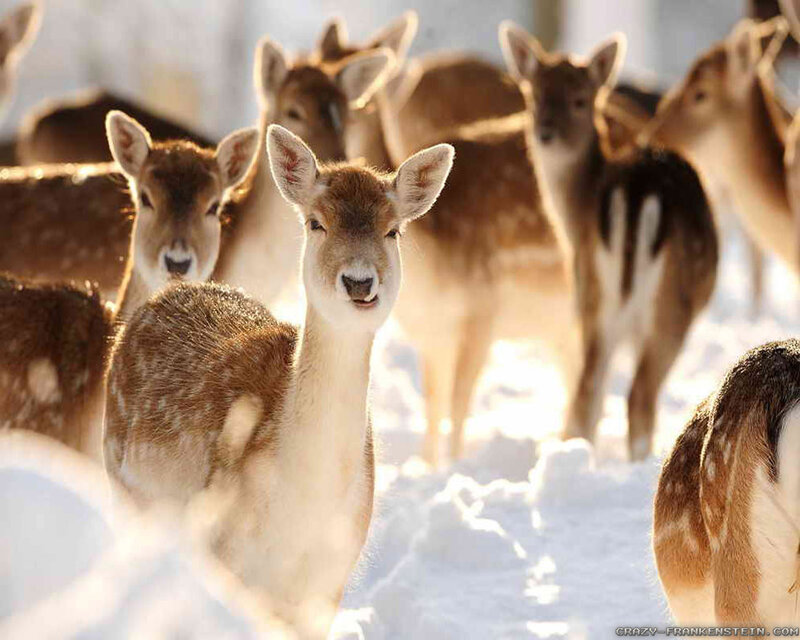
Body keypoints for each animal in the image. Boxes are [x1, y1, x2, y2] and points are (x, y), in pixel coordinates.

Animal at [102, 124, 454, 636]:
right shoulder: (228, 556)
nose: (359, 282)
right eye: (316, 222)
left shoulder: (328, 584)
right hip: (119, 482)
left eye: (394, 230)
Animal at [500, 23, 718, 461]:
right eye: (535, 95)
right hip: (669, 307)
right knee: (637, 396)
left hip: (595, 296)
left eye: (580, 99)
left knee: (589, 390)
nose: (545, 132)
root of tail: (635, 195)